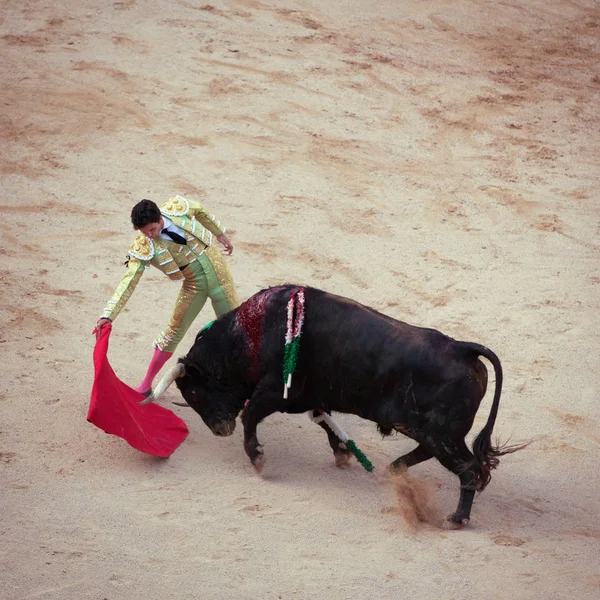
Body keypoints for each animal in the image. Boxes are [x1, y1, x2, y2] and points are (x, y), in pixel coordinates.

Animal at [143, 284, 524, 528]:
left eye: (195, 393)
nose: (221, 430)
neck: (249, 336)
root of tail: (462, 348)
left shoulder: (277, 392)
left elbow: (252, 414)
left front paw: (258, 458)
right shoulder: (310, 397)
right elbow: (325, 422)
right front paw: (342, 453)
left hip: (442, 434)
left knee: (469, 470)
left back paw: (456, 518)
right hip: (432, 432)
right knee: (437, 457)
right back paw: (394, 470)